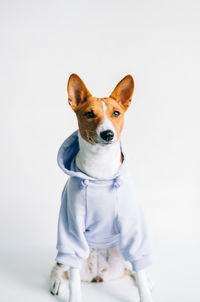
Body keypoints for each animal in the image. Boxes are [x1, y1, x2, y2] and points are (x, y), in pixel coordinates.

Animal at [50, 73, 153, 302]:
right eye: (89, 114)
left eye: (116, 113)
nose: (107, 134)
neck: (100, 172)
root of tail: (97, 274)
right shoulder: (71, 226)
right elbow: (73, 281)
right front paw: (73, 296)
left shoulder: (132, 226)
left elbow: (141, 268)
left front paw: (146, 292)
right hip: (71, 253)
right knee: (60, 266)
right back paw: (57, 282)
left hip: (120, 254)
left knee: (131, 269)